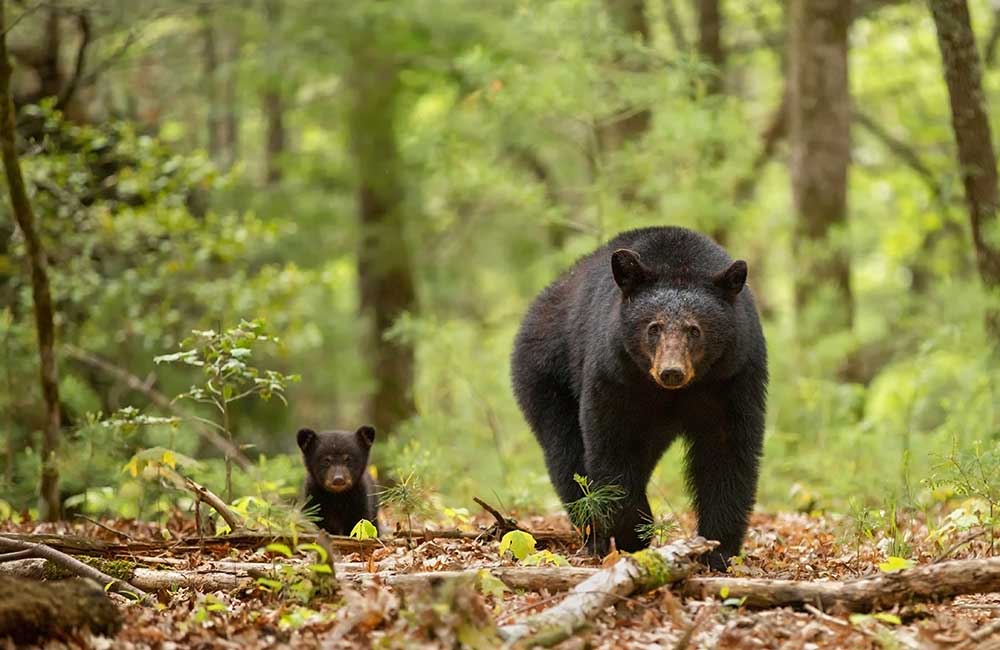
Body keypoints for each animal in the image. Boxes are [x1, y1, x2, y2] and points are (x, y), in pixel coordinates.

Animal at [512, 227, 768, 568]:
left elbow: (726, 450)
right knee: (566, 455)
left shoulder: (733, 375)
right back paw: (594, 536)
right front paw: (634, 536)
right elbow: (613, 446)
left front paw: (717, 548)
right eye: (654, 327)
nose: (671, 371)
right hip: (546, 374)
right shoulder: (615, 374)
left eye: (694, 329)